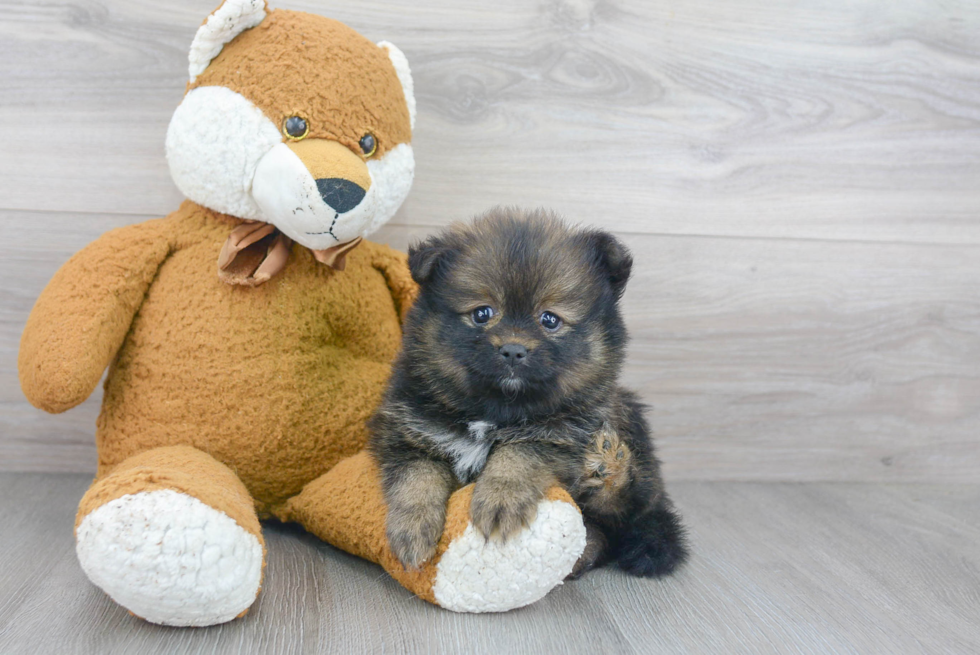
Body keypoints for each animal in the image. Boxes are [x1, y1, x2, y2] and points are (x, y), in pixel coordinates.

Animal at [370, 206, 688, 580]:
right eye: (482, 313)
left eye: (549, 319)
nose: (513, 350)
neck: (494, 411)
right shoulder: (406, 432)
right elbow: (417, 478)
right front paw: (413, 529)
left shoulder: (560, 434)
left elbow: (518, 454)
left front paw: (500, 500)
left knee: (624, 512)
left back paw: (607, 471)